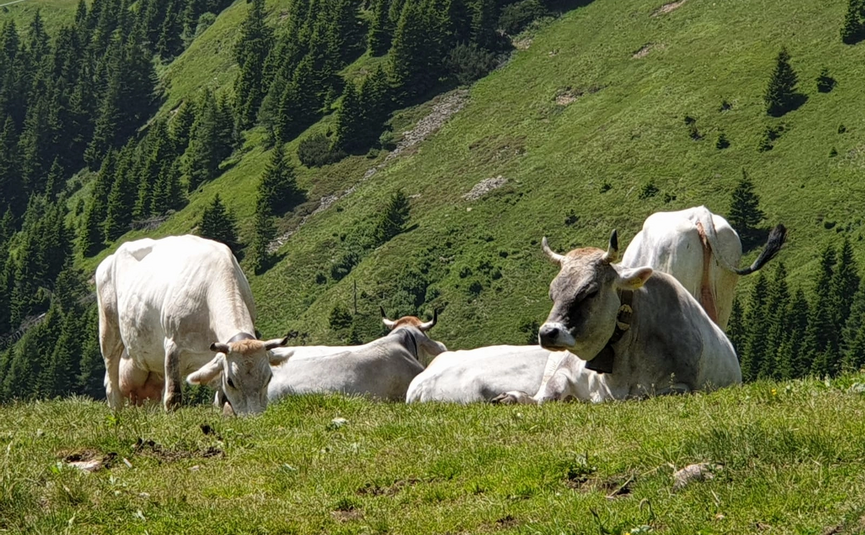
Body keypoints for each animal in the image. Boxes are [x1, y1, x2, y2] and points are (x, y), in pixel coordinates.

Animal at [96, 235, 291, 415]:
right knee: (111, 378)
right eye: (231, 381)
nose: (253, 417)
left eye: (269, 378)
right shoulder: (173, 345)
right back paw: (116, 411)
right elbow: (173, 397)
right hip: (109, 329)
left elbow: (221, 399)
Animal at [493, 230, 741, 404]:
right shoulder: (565, 371)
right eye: (552, 293)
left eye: (590, 292)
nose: (547, 333)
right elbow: (548, 393)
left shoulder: (680, 386)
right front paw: (513, 397)